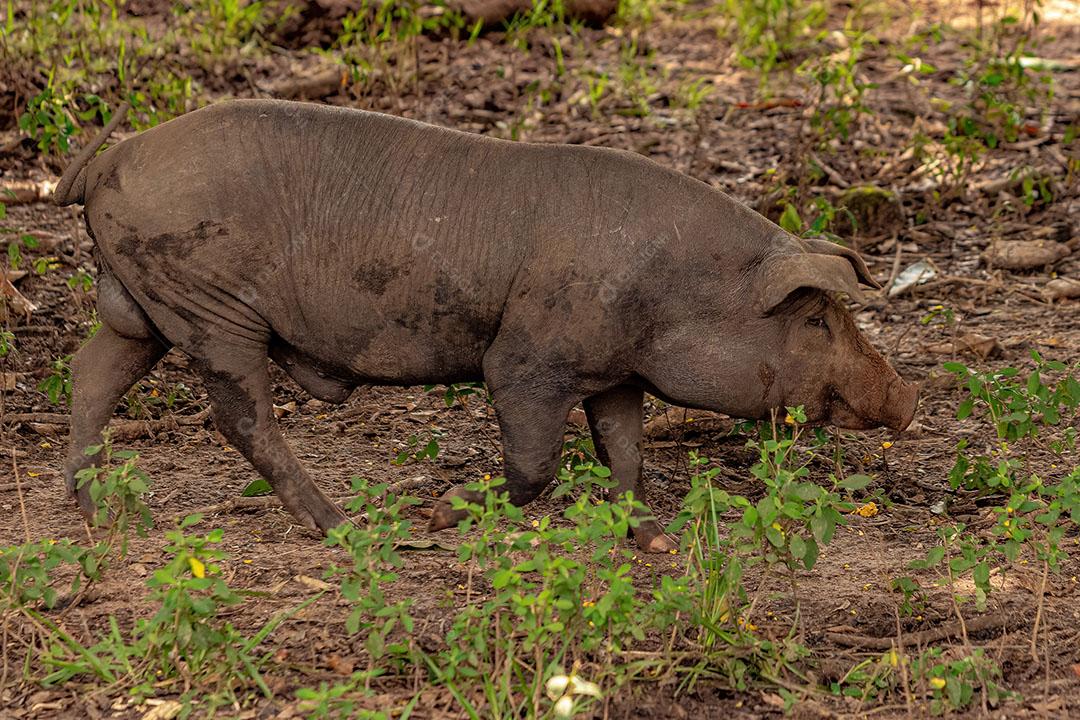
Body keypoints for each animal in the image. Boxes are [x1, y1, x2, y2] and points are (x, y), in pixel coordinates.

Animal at [55, 99, 918, 552]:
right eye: (816, 317)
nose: (907, 399)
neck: (678, 287)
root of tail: (111, 156)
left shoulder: (614, 374)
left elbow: (626, 451)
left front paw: (651, 540)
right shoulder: (529, 363)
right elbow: (537, 464)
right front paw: (438, 516)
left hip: (150, 307)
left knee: (91, 374)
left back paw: (93, 516)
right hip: (210, 308)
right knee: (239, 417)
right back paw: (346, 527)